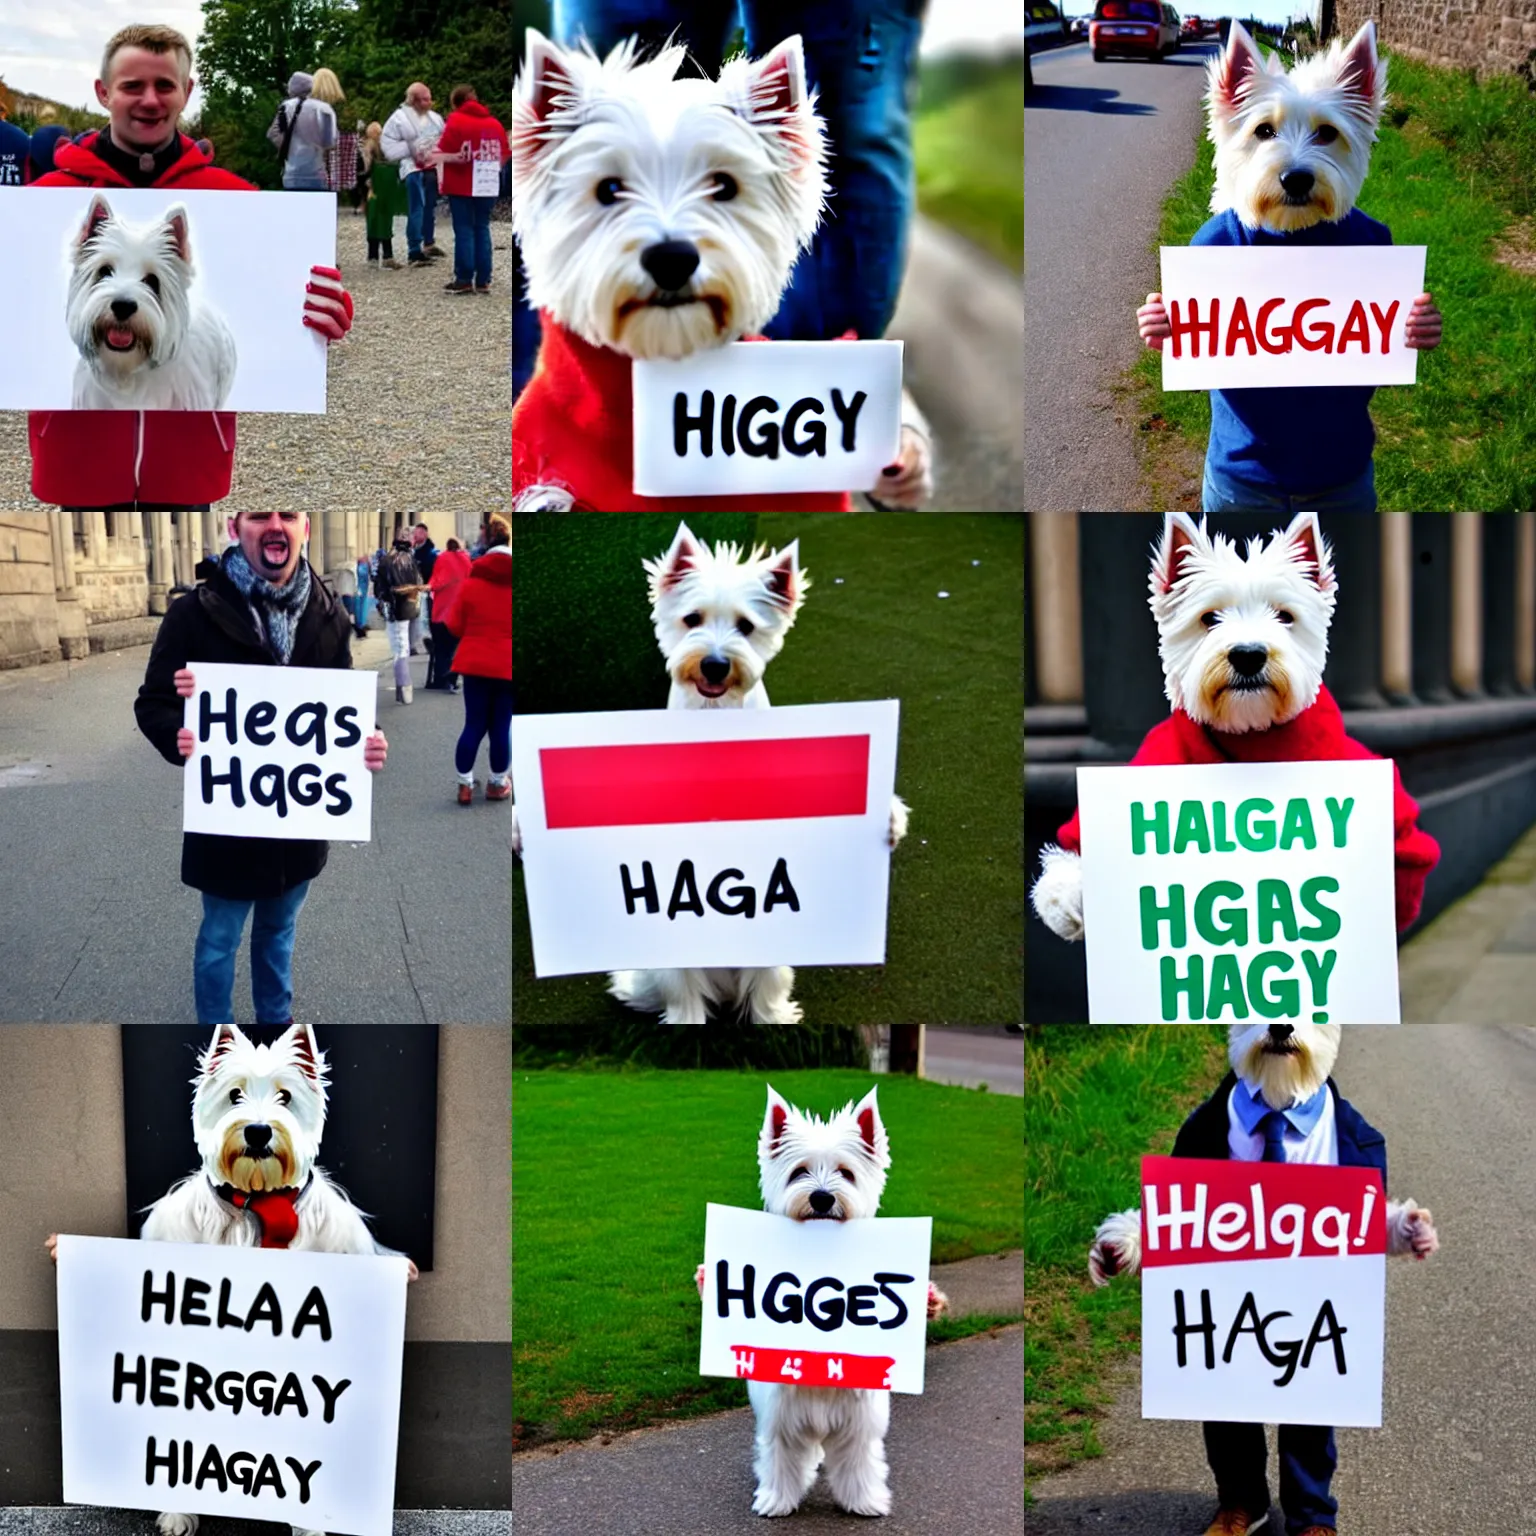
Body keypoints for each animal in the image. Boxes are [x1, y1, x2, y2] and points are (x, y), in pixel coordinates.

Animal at [700, 1087, 946, 1517]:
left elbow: (858, 1464)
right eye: (798, 1172)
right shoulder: (781, 1423)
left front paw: (864, 1502)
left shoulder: (858, 1425)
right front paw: (777, 1501)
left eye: (846, 1173)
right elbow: (780, 1460)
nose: (821, 1197)